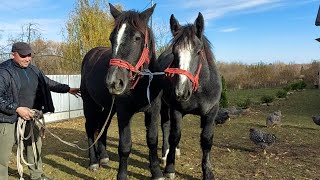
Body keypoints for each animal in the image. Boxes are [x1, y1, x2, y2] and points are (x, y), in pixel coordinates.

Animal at [80, 2, 165, 180]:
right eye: (112, 38)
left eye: (137, 38)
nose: (113, 82)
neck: (142, 84)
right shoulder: (124, 112)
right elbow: (125, 146)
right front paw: (122, 175)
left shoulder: (154, 110)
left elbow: (152, 140)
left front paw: (156, 172)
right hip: (89, 104)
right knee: (90, 128)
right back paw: (93, 161)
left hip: (108, 108)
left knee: (102, 127)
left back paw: (103, 156)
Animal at [158, 12, 222, 179]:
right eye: (174, 52)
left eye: (198, 52)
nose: (181, 92)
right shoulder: (176, 110)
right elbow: (174, 136)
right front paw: (170, 168)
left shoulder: (211, 113)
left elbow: (206, 140)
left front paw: (208, 171)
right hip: (163, 106)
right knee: (166, 127)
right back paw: (165, 154)